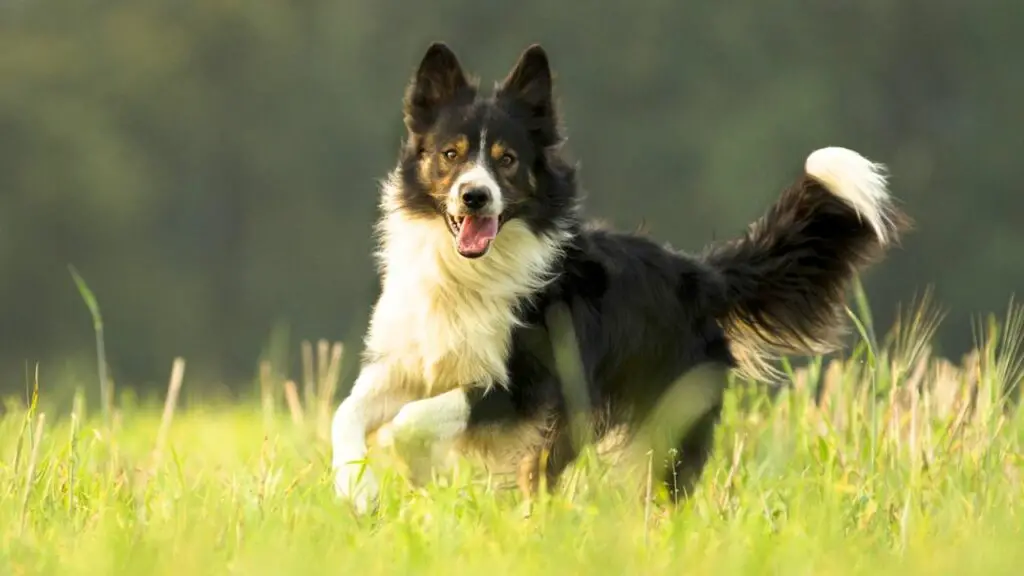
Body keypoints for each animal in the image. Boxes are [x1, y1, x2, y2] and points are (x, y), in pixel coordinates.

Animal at [331, 41, 909, 510]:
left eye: (507, 160)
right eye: (450, 154)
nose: (475, 196)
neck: (468, 273)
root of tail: (698, 274)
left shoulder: (526, 385)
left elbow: (410, 423)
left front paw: (413, 469)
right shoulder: (411, 362)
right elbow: (347, 411)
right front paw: (356, 490)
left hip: (652, 419)